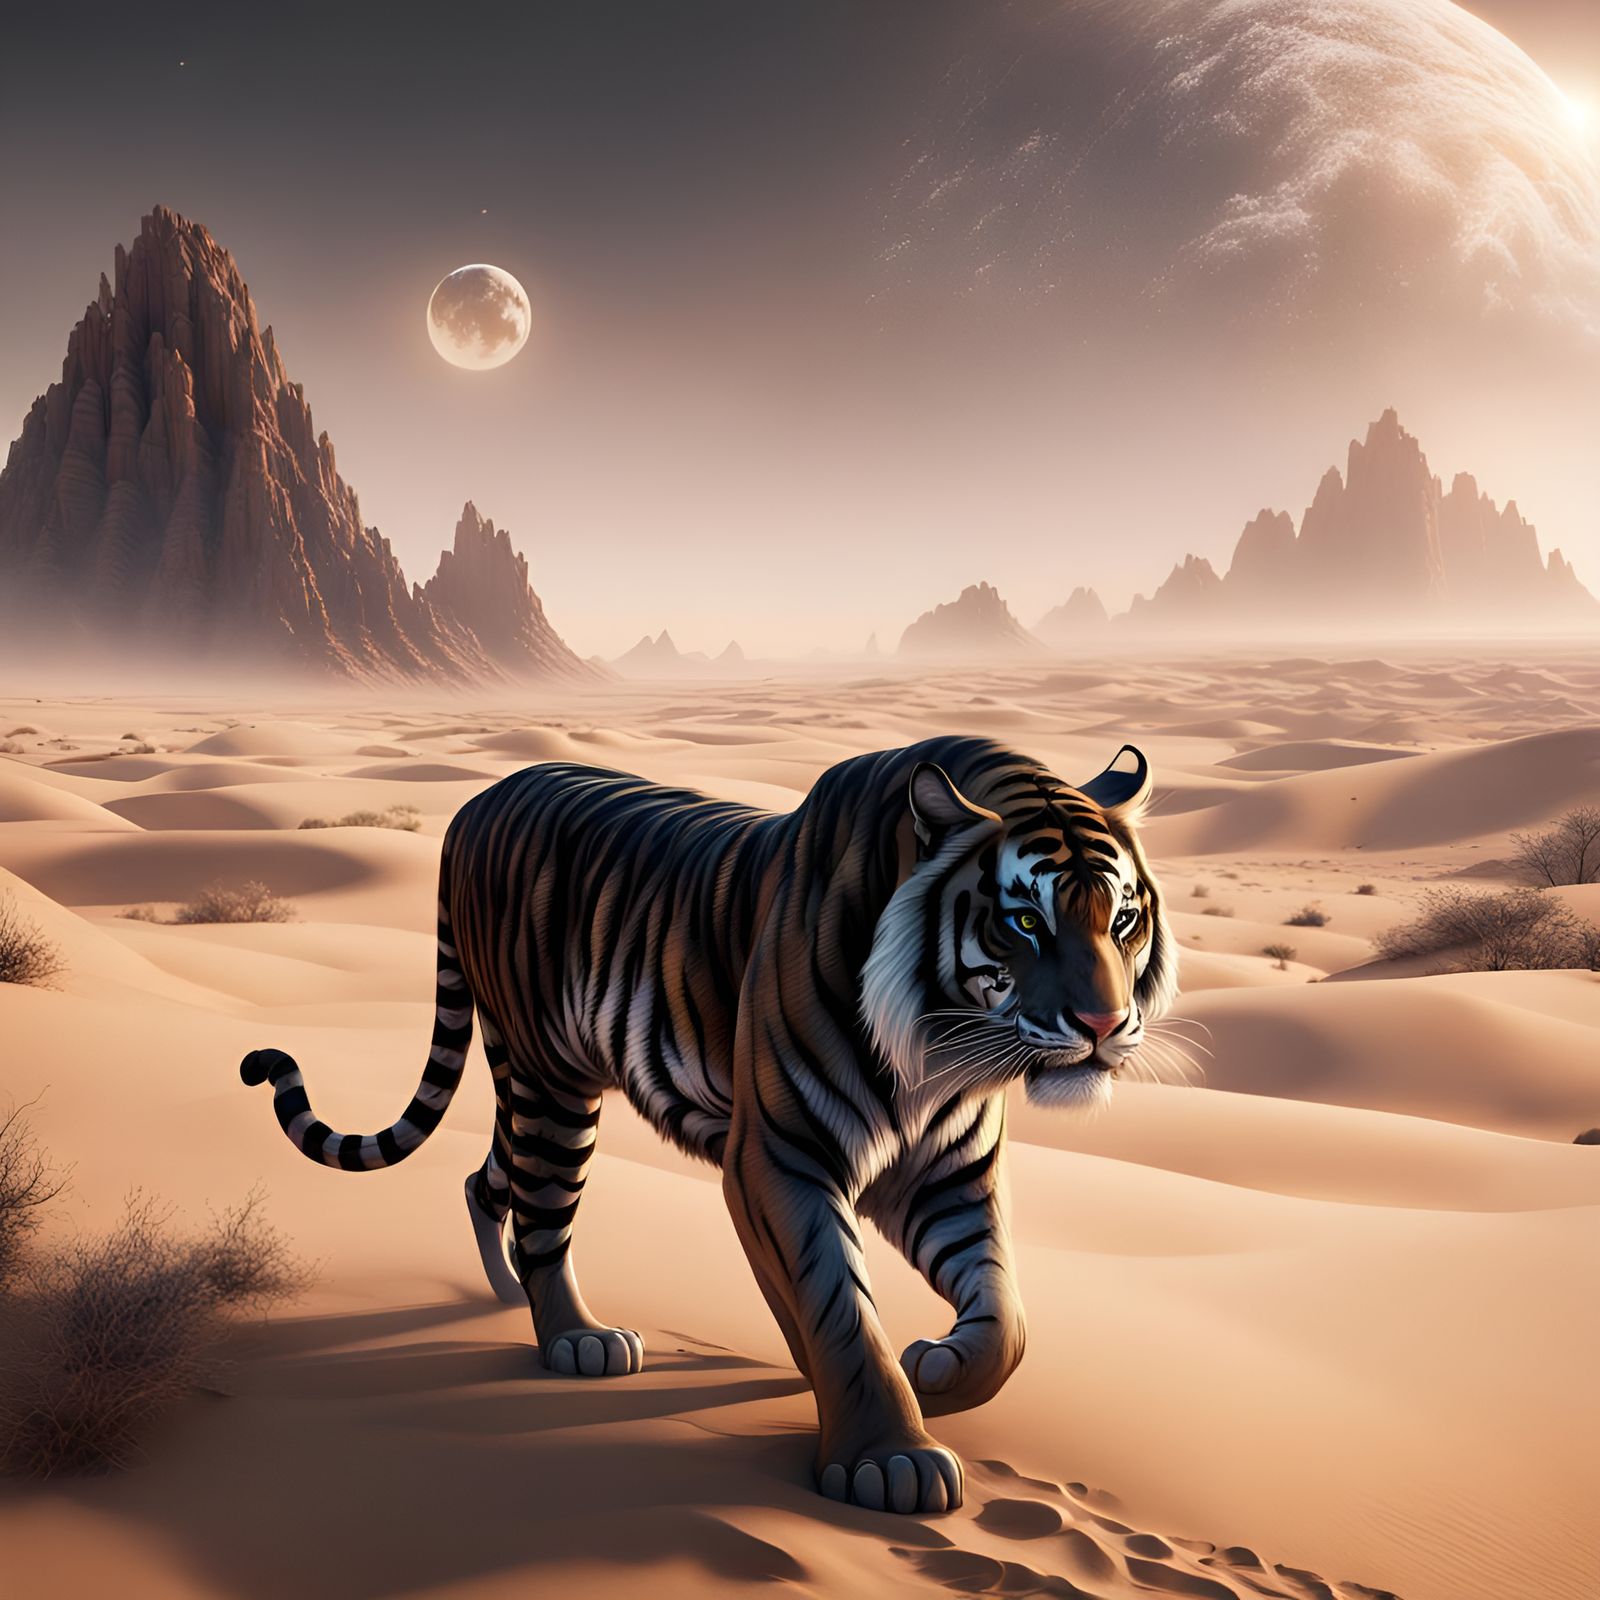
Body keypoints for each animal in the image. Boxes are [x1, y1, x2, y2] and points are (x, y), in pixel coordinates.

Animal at [239, 735, 1177, 1514]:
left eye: (1123, 919)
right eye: (1025, 921)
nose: (1103, 1025)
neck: (944, 1043)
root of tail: (475, 803)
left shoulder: (948, 1174)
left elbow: (1004, 1320)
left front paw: (936, 1371)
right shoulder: (782, 1157)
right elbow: (836, 1300)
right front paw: (886, 1458)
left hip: (532, 1081)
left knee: (489, 1176)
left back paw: (504, 1296)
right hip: (552, 1082)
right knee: (542, 1215)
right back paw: (576, 1337)